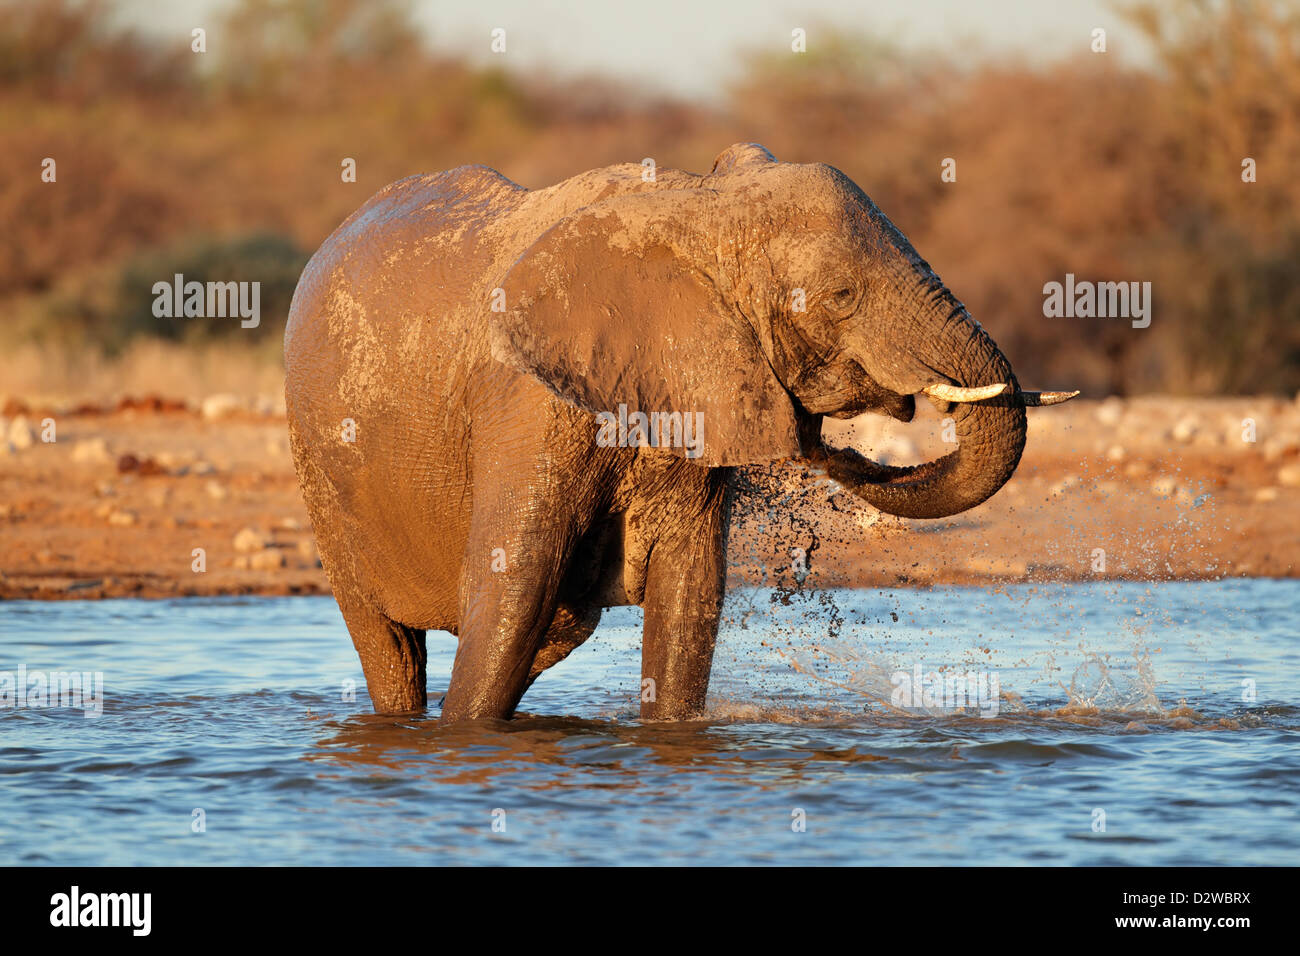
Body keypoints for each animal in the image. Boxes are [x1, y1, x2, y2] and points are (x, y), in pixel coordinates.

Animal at [284, 141, 1076, 723]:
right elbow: (514, 585)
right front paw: (468, 737)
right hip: (321, 478)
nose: (822, 437)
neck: (696, 208)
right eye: (842, 296)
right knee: (391, 641)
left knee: (555, 629)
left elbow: (689, 591)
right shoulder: (528, 404)